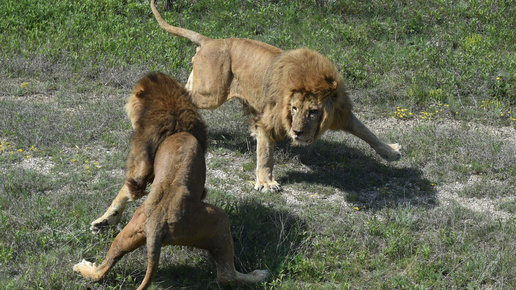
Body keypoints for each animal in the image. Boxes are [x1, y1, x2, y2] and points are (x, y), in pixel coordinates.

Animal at [78, 72, 270, 288]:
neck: (174, 117)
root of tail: (157, 225)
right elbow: (127, 192)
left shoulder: (142, 165)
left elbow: (126, 191)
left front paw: (103, 221)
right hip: (220, 219)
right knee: (226, 275)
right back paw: (259, 275)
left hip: (129, 234)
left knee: (102, 270)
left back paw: (84, 267)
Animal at [146, 0, 404, 193]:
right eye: (294, 109)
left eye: (313, 111)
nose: (297, 133)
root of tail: (210, 41)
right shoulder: (269, 122)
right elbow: (265, 155)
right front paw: (266, 182)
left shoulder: (341, 113)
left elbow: (366, 131)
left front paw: (391, 151)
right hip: (213, 93)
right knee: (186, 94)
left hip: (207, 88)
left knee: (187, 86)